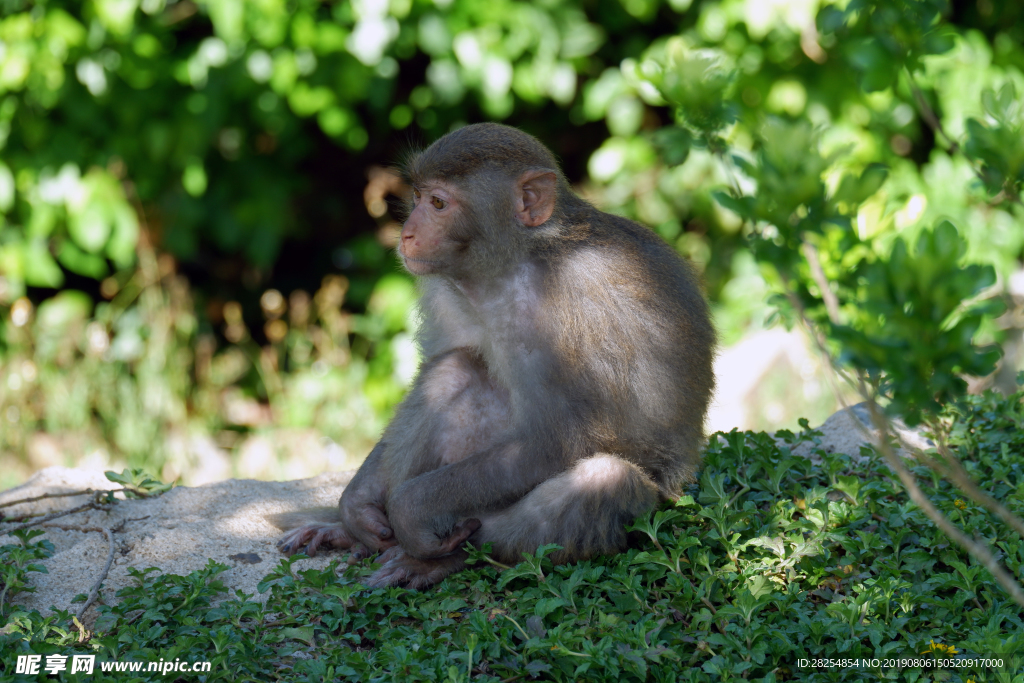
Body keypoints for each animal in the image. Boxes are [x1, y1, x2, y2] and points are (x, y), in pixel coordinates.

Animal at [276, 121, 716, 589]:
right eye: (418, 196)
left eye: (438, 203)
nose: (407, 233)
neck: (509, 266)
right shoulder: (445, 288)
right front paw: (356, 508)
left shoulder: (560, 313)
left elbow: (557, 442)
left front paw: (408, 512)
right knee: (455, 369)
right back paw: (353, 533)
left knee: (605, 481)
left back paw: (441, 558)